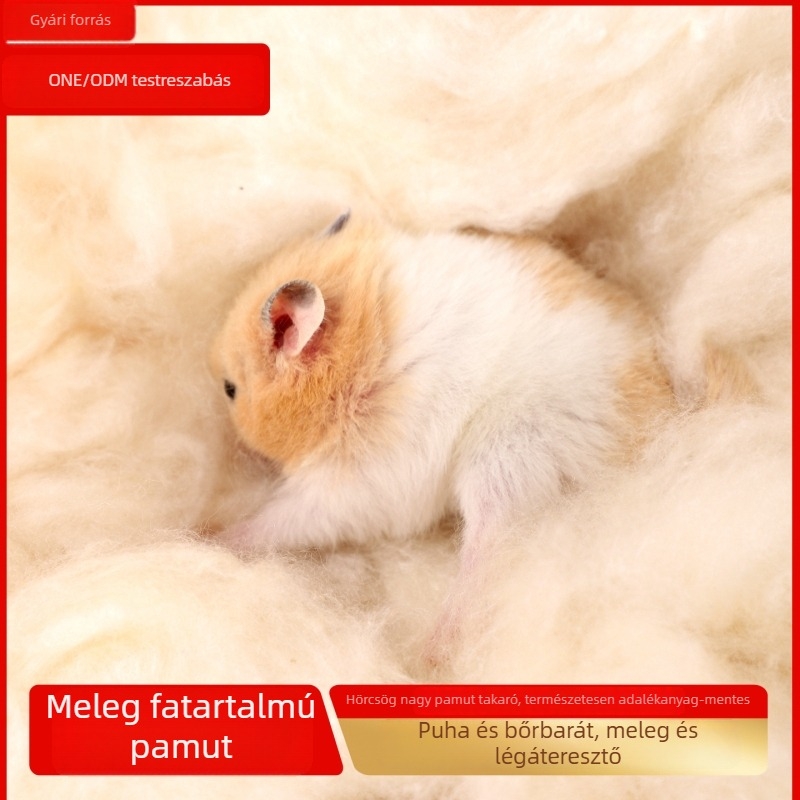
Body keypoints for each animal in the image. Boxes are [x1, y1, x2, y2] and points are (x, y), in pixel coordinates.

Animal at [211, 212, 674, 659]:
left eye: (230, 389)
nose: (239, 449)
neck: (364, 355)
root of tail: (656, 427)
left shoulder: (359, 486)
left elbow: (282, 520)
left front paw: (213, 537)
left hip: (509, 453)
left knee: (491, 549)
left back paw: (436, 651)